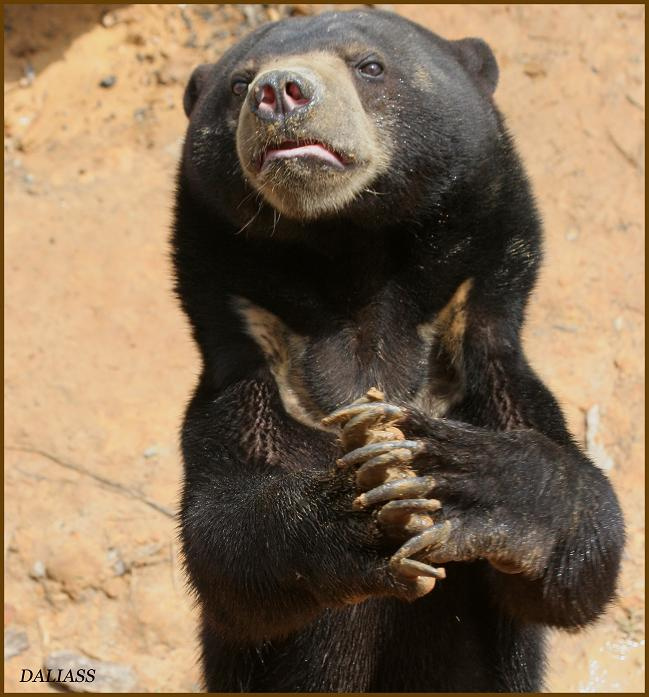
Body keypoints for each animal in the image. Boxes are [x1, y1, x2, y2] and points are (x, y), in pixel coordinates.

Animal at [173, 9, 624, 692]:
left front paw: (455, 477)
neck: (355, 264)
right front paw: (363, 508)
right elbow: (222, 542)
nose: (280, 91)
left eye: (369, 65)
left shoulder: (485, 366)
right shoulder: (243, 379)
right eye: (238, 84)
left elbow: (586, 553)